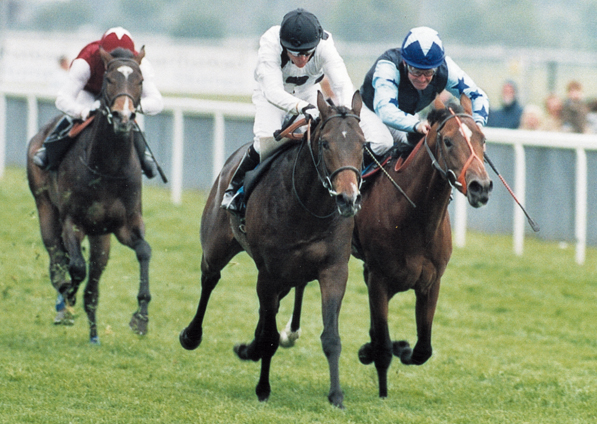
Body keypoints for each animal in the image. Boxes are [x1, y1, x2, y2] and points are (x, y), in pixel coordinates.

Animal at [26, 46, 151, 344]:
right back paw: (64, 304)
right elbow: (76, 267)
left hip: (101, 236)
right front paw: (68, 296)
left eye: (140, 80)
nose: (123, 117)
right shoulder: (73, 221)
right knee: (57, 258)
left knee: (93, 282)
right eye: (109, 79)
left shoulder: (126, 225)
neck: (108, 167)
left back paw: (94, 334)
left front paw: (141, 317)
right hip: (45, 207)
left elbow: (144, 251)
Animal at [178, 90, 364, 408]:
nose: (347, 198)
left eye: (362, 143)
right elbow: (269, 335)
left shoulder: (334, 270)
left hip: (287, 279)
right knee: (210, 279)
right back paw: (192, 335)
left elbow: (330, 336)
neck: (308, 207)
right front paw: (263, 387)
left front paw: (336, 395)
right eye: (325, 143)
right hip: (217, 246)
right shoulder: (269, 272)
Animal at [280, 93, 494, 398]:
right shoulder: (378, 279)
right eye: (448, 141)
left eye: (482, 138)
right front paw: (373, 357)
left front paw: (397, 348)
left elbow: (422, 349)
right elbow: (382, 342)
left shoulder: (431, 282)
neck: (413, 214)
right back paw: (290, 332)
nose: (481, 187)